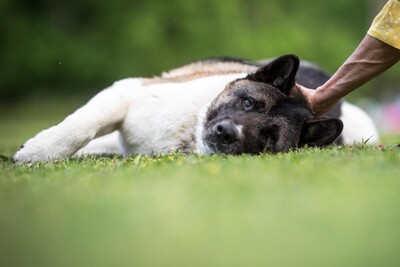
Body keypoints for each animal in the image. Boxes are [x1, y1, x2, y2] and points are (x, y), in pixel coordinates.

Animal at [14, 54, 380, 163]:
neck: (189, 131)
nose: (226, 132)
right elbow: (82, 127)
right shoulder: (125, 93)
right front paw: (39, 151)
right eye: (248, 102)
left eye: (268, 136)